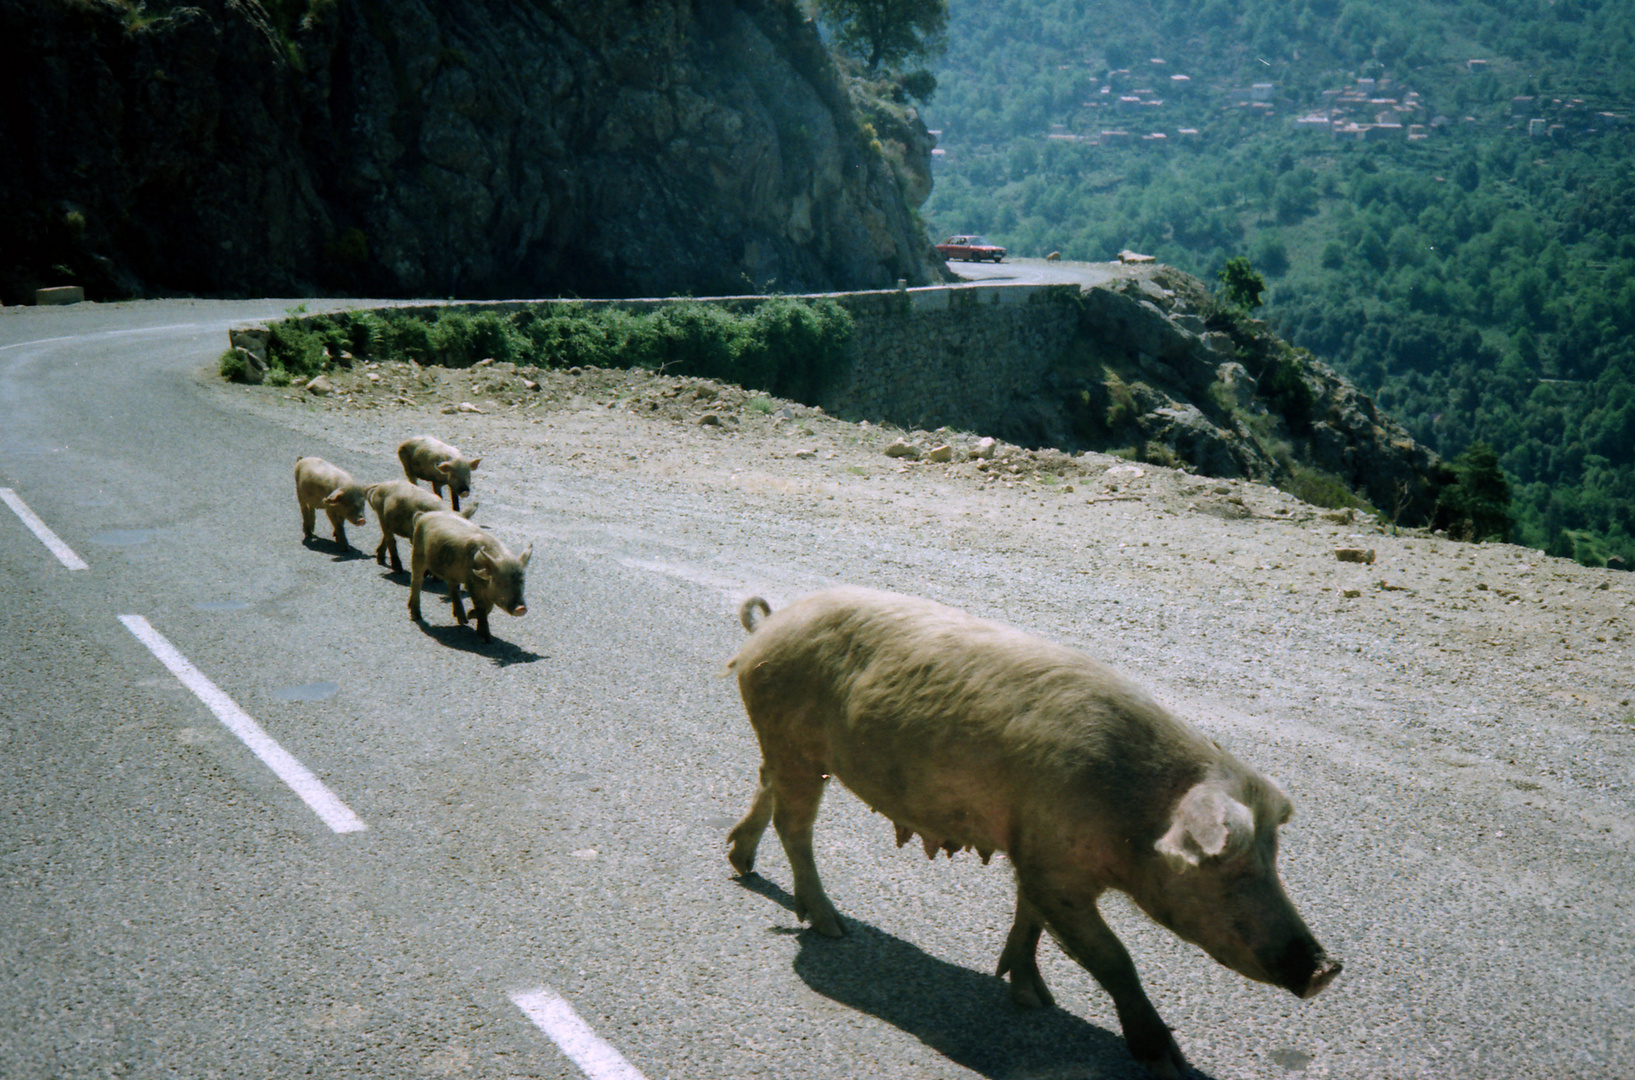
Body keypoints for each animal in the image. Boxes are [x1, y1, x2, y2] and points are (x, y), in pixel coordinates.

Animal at [407, 506, 529, 640]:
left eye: (522, 582)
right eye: (501, 582)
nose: (521, 608)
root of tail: (424, 515)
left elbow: (489, 607)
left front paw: (470, 616)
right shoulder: (471, 583)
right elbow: (482, 607)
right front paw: (485, 638)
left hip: (450, 571)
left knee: (452, 588)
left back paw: (463, 620)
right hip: (417, 553)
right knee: (416, 581)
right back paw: (416, 616)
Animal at [729, 588, 1340, 1078]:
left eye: (1274, 859)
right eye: (1228, 867)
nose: (1325, 969)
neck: (1133, 813)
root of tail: (767, 628)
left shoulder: (1036, 851)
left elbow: (1030, 919)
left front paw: (1033, 999)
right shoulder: (1057, 870)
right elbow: (1113, 957)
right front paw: (1168, 1062)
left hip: (789, 750)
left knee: (766, 786)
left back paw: (742, 862)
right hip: (794, 740)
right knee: (795, 824)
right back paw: (833, 926)